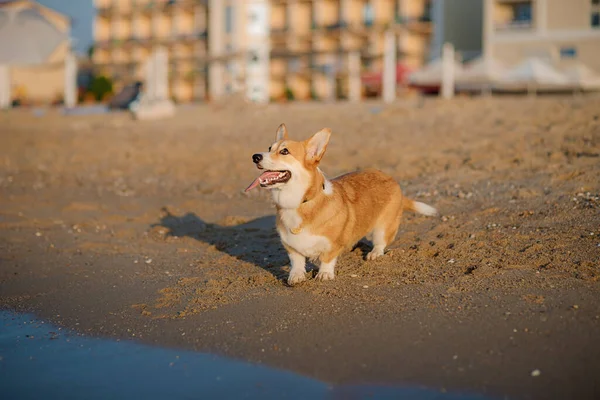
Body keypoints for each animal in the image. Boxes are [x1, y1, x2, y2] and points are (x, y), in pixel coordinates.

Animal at [246, 124, 438, 284]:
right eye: (269, 148)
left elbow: (327, 258)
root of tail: (392, 179)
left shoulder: (332, 245)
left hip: (383, 227)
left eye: (285, 151)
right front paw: (296, 276)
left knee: (381, 242)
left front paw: (324, 274)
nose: (255, 156)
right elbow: (297, 261)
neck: (299, 203)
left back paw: (374, 254)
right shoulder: (291, 247)